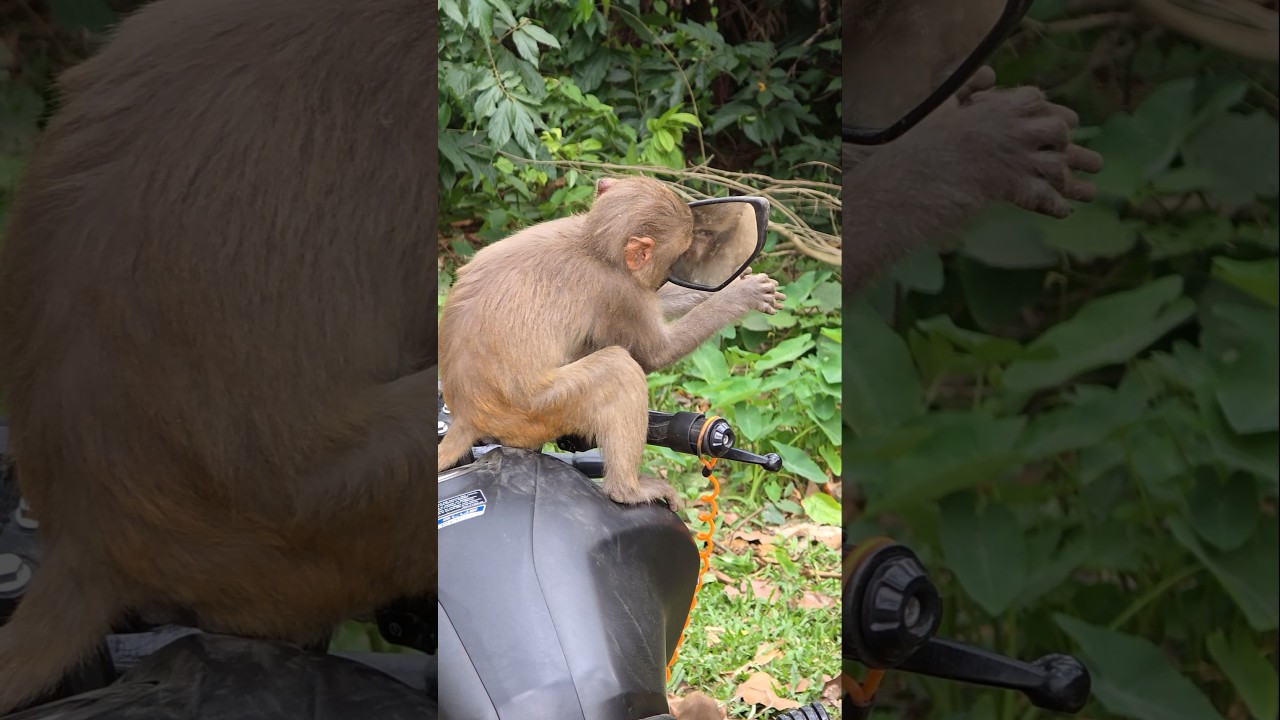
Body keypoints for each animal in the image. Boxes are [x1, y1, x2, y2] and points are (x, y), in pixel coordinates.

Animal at [436, 176, 784, 509]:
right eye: (679, 255)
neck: (591, 244)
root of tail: (466, 417)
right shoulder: (619, 291)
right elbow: (656, 354)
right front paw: (739, 295)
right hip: (535, 413)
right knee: (618, 368)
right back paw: (627, 491)